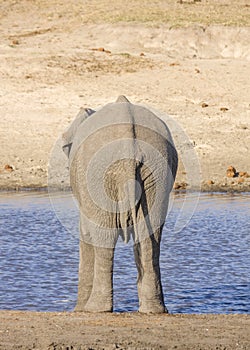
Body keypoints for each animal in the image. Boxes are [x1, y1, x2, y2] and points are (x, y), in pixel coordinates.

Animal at [62, 95, 178, 314]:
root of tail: (128, 142)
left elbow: (86, 233)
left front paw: (78, 310)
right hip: (158, 169)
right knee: (150, 235)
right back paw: (154, 310)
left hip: (98, 174)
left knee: (104, 234)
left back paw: (95, 309)